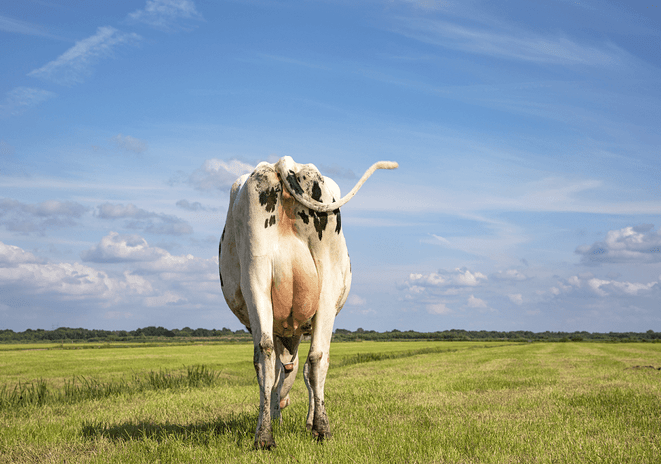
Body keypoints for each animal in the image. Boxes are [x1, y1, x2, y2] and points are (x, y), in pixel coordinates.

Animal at [219, 155, 397, 449]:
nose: (284, 403)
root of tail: (283, 163)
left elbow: (279, 372)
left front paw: (282, 418)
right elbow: (306, 372)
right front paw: (309, 421)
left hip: (257, 271)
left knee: (266, 355)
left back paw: (265, 437)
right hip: (327, 278)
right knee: (316, 358)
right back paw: (321, 428)